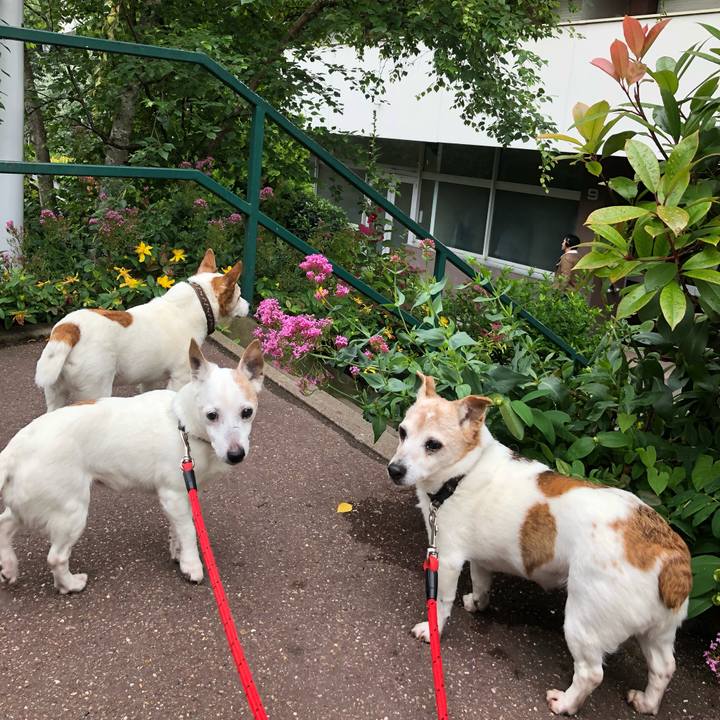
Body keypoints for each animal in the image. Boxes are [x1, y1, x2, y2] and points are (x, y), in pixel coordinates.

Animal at [0, 339, 263, 593]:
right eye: (211, 415)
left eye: (247, 412)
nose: (236, 454)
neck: (183, 425)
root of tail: (12, 452)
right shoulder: (174, 494)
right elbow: (189, 530)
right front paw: (192, 565)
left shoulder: (181, 497)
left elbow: (178, 528)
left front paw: (177, 552)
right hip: (70, 513)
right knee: (56, 557)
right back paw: (70, 585)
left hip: (29, 504)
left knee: (4, 524)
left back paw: (9, 567)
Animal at [35, 248, 250, 410]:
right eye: (239, 296)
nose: (249, 307)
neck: (196, 303)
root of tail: (70, 327)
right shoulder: (179, 378)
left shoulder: (148, 380)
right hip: (96, 389)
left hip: (55, 393)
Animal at [387, 373, 691, 716]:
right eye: (402, 432)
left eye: (433, 445)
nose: (394, 470)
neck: (464, 472)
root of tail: (670, 555)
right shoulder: (480, 559)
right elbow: (481, 582)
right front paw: (478, 603)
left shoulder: (448, 558)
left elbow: (441, 602)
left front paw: (433, 629)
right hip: (658, 632)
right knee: (664, 667)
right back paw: (647, 702)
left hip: (582, 621)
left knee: (591, 673)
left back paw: (566, 703)